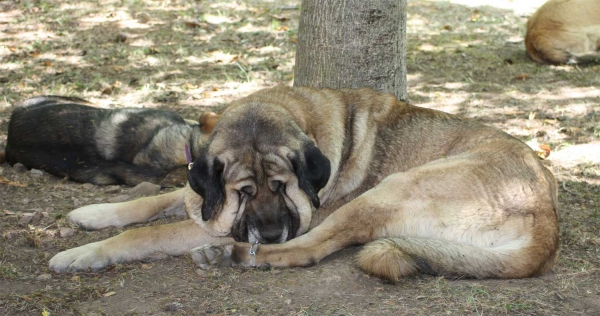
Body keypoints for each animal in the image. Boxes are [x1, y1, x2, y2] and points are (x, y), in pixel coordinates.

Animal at [49, 86, 560, 282]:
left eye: (283, 186)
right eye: (244, 192)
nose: (271, 232)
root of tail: (547, 217)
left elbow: (149, 232)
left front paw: (81, 254)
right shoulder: (207, 199)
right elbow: (163, 199)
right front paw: (93, 214)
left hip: (391, 188)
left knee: (312, 247)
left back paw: (237, 255)